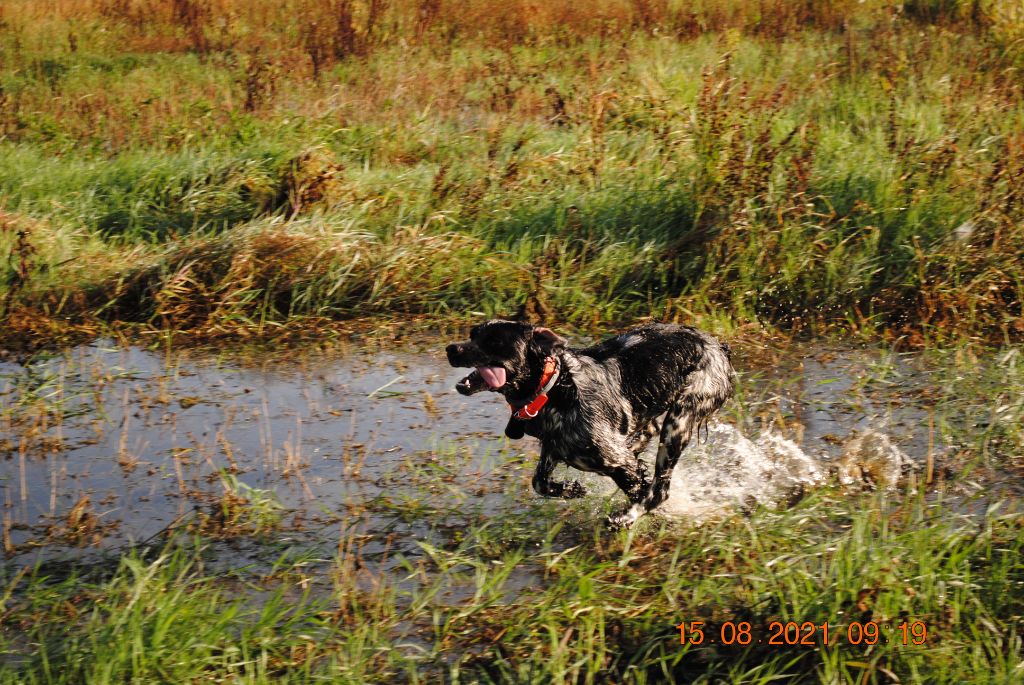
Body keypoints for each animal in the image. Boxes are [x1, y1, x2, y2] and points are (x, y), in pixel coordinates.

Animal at [448, 321, 737, 528]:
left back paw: (625, 518)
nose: (451, 348)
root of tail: (718, 346)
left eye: (495, 341)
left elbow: (643, 489)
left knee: (660, 490)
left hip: (679, 421)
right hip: (655, 421)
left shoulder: (617, 461)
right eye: (473, 334)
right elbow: (539, 482)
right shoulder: (553, 448)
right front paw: (570, 490)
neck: (555, 389)